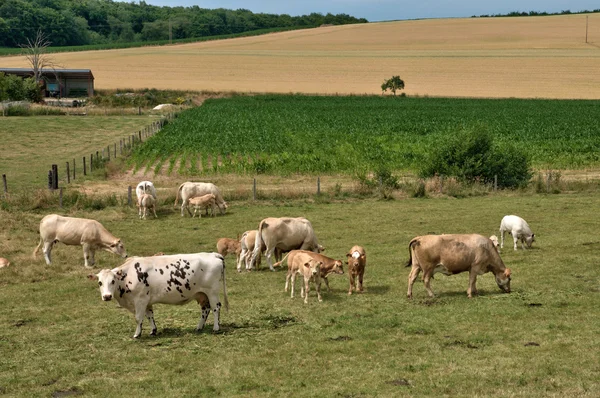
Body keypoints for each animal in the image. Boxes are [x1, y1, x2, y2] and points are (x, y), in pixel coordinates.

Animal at [88, 253, 229, 338]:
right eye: (100, 282)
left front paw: (137, 334)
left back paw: (216, 328)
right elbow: (150, 315)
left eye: (113, 281)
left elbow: (138, 318)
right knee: (205, 309)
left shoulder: (140, 300)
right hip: (201, 294)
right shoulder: (147, 301)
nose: (107, 296)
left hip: (212, 292)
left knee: (216, 308)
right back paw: (199, 327)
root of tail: (214, 254)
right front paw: (153, 331)